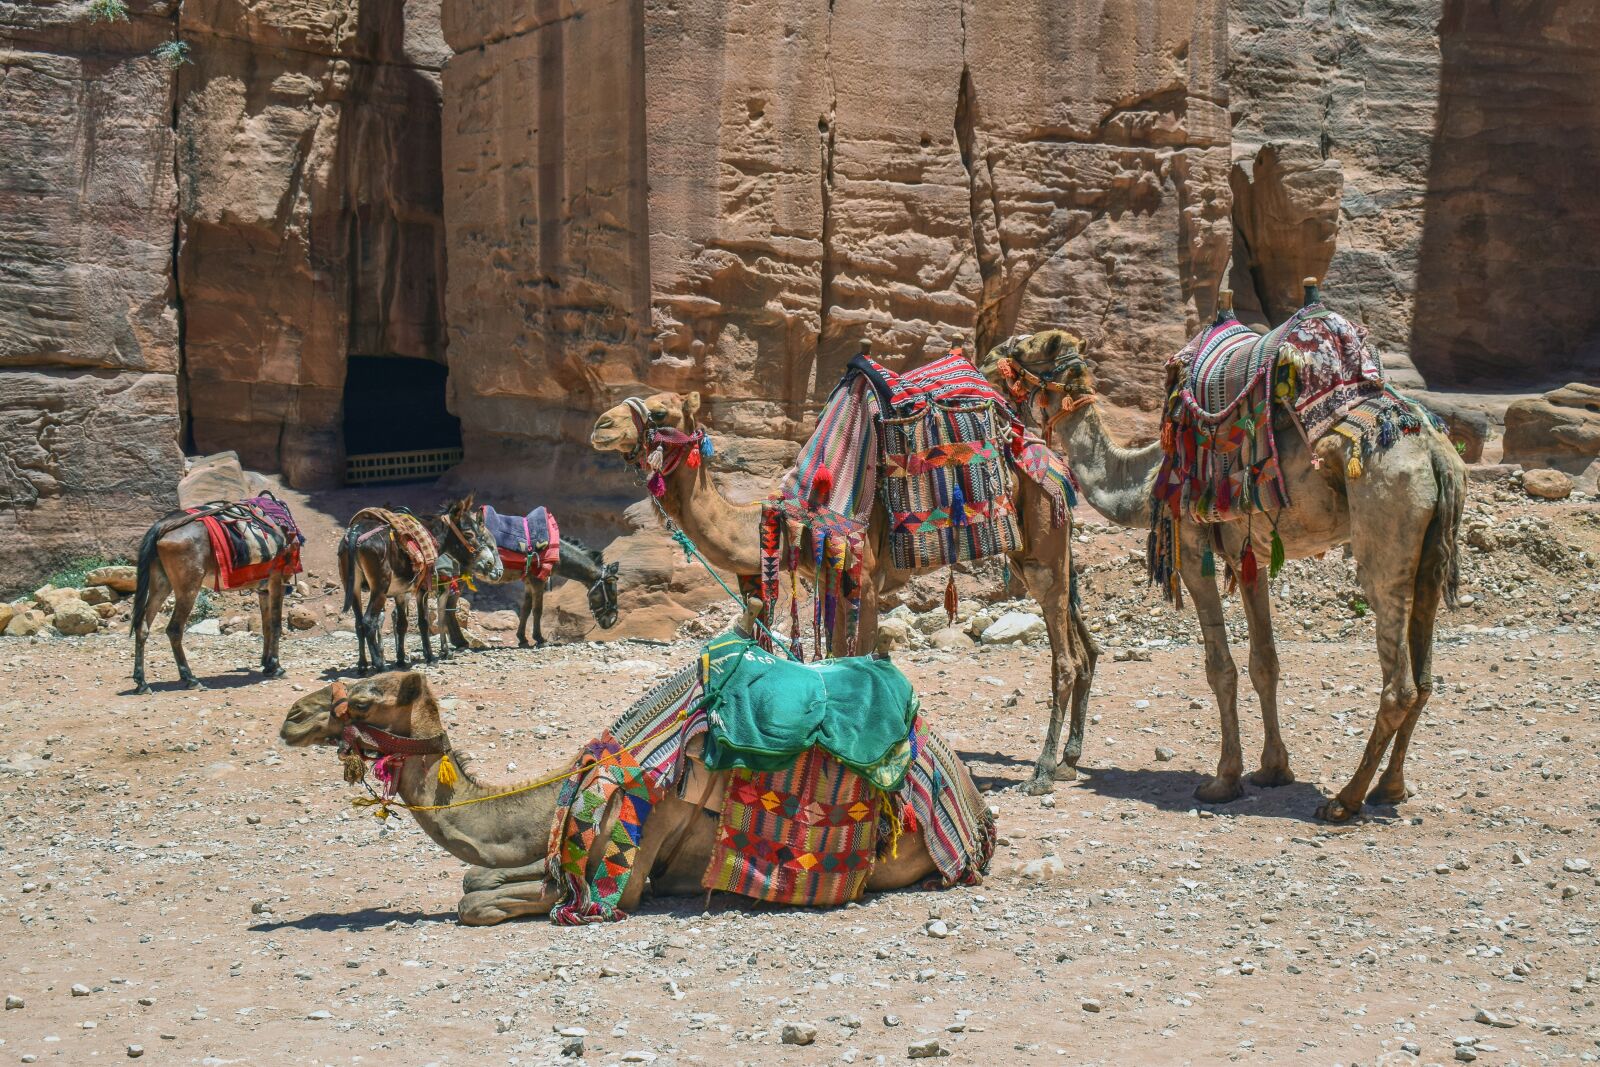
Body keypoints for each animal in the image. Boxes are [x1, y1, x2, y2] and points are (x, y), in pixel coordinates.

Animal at [337, 496, 503, 674]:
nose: (490, 563)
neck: (432, 537)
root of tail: (355, 533)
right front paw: (432, 657)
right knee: (368, 621)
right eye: (469, 534)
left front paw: (401, 660)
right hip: (380, 588)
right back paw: (380, 665)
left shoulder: (401, 593)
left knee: (359, 623)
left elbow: (402, 624)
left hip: (353, 586)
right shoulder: (425, 589)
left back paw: (362, 665)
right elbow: (427, 621)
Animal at [590, 389, 1099, 793]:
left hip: (1045, 544)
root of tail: (1054, 463)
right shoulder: (832, 584)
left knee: (1066, 659)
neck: (788, 518)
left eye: (660, 411)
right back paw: (1070, 760)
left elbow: (858, 661)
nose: (601, 425)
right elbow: (833, 660)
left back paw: (1042, 772)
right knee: (1085, 648)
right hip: (1038, 555)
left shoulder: (866, 581)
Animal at [980, 313, 1467, 822]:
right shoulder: (1248, 557)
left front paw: (1223, 780)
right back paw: (1390, 788)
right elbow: (1264, 662)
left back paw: (1345, 799)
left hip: (1385, 530)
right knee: (1425, 677)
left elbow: (1221, 668)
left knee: (1398, 681)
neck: (1145, 477)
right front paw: (1273, 769)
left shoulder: (1195, 553)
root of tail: (1437, 454)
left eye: (1020, 349)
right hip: (1430, 555)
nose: (983, 361)